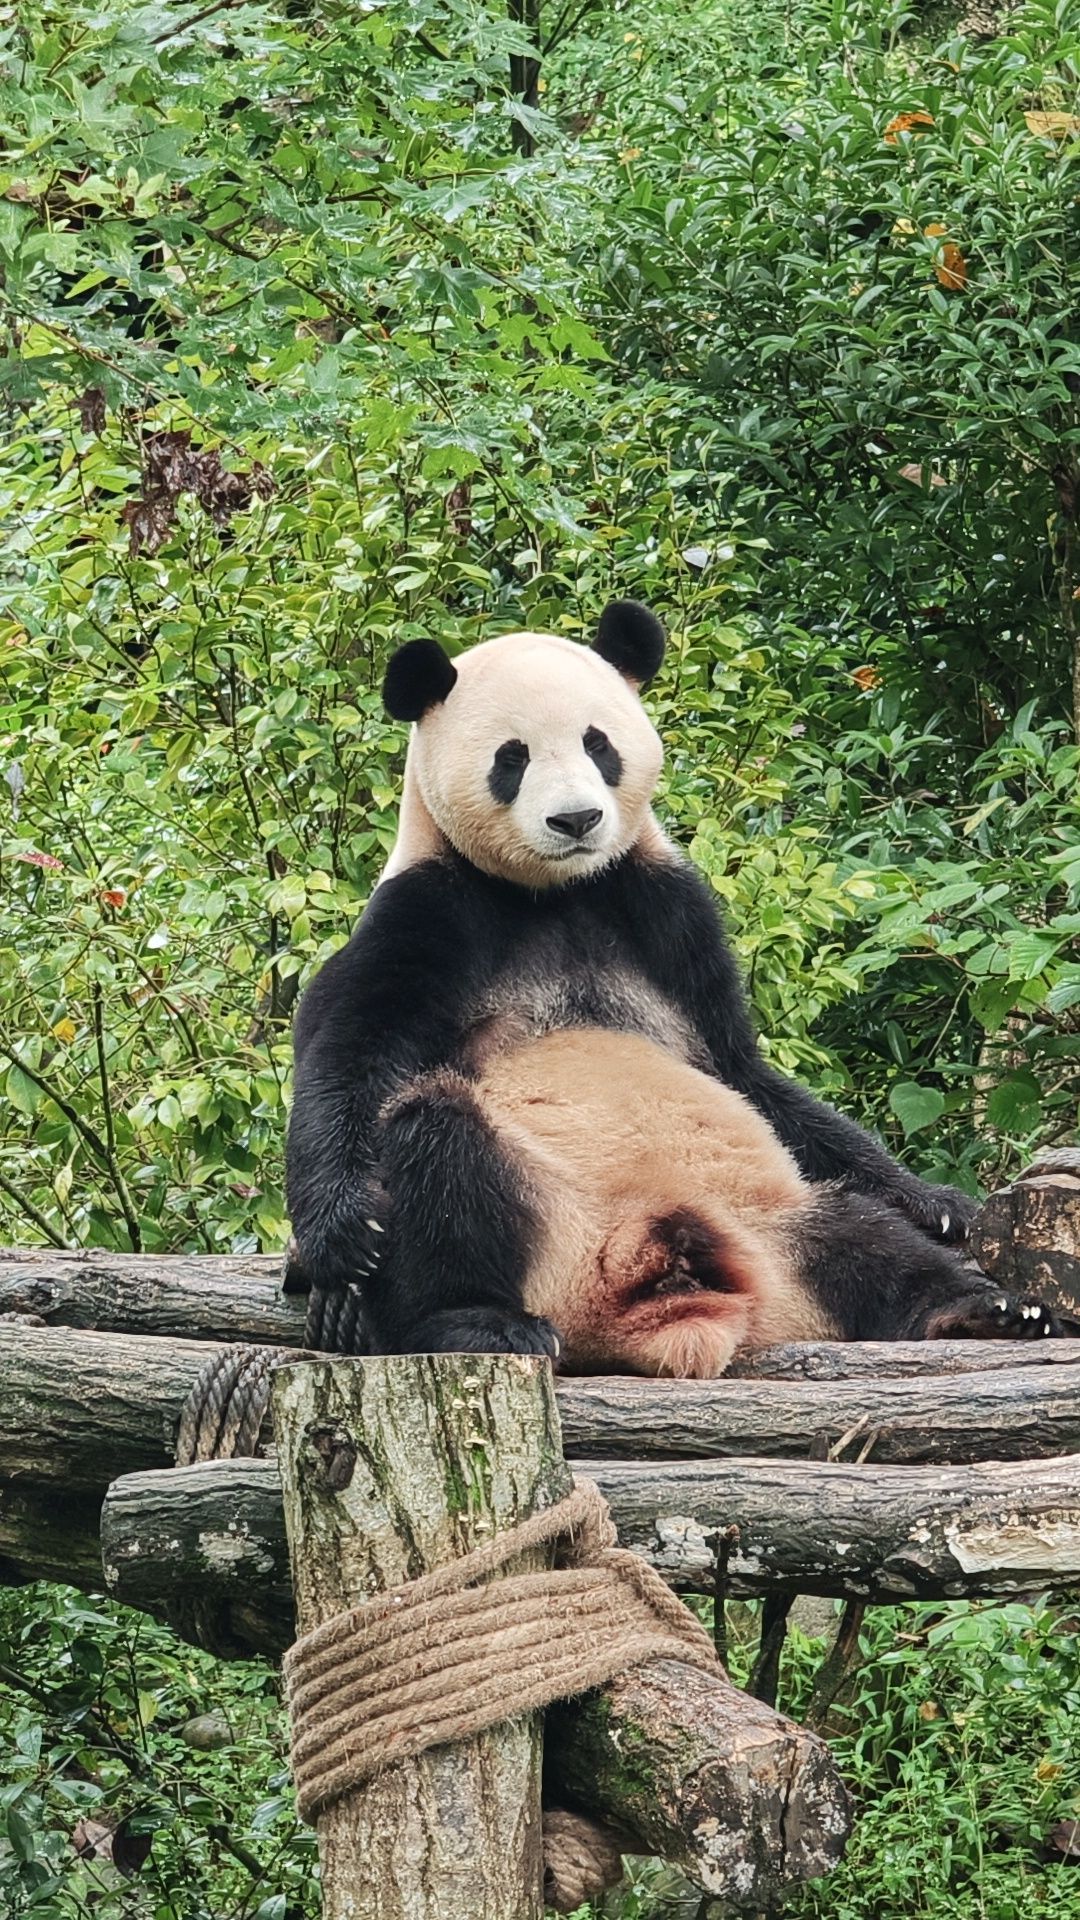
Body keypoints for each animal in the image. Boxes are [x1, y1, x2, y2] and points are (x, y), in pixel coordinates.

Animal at [285, 600, 1060, 1370]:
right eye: (513, 758)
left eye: (598, 744)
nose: (577, 819)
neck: (557, 893)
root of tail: (650, 1283)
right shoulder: (430, 910)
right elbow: (350, 1052)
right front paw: (342, 1237)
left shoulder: (668, 914)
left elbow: (742, 1069)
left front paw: (942, 1204)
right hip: (549, 1234)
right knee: (434, 1137)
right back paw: (476, 1321)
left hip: (769, 1228)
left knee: (858, 1231)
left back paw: (981, 1309)